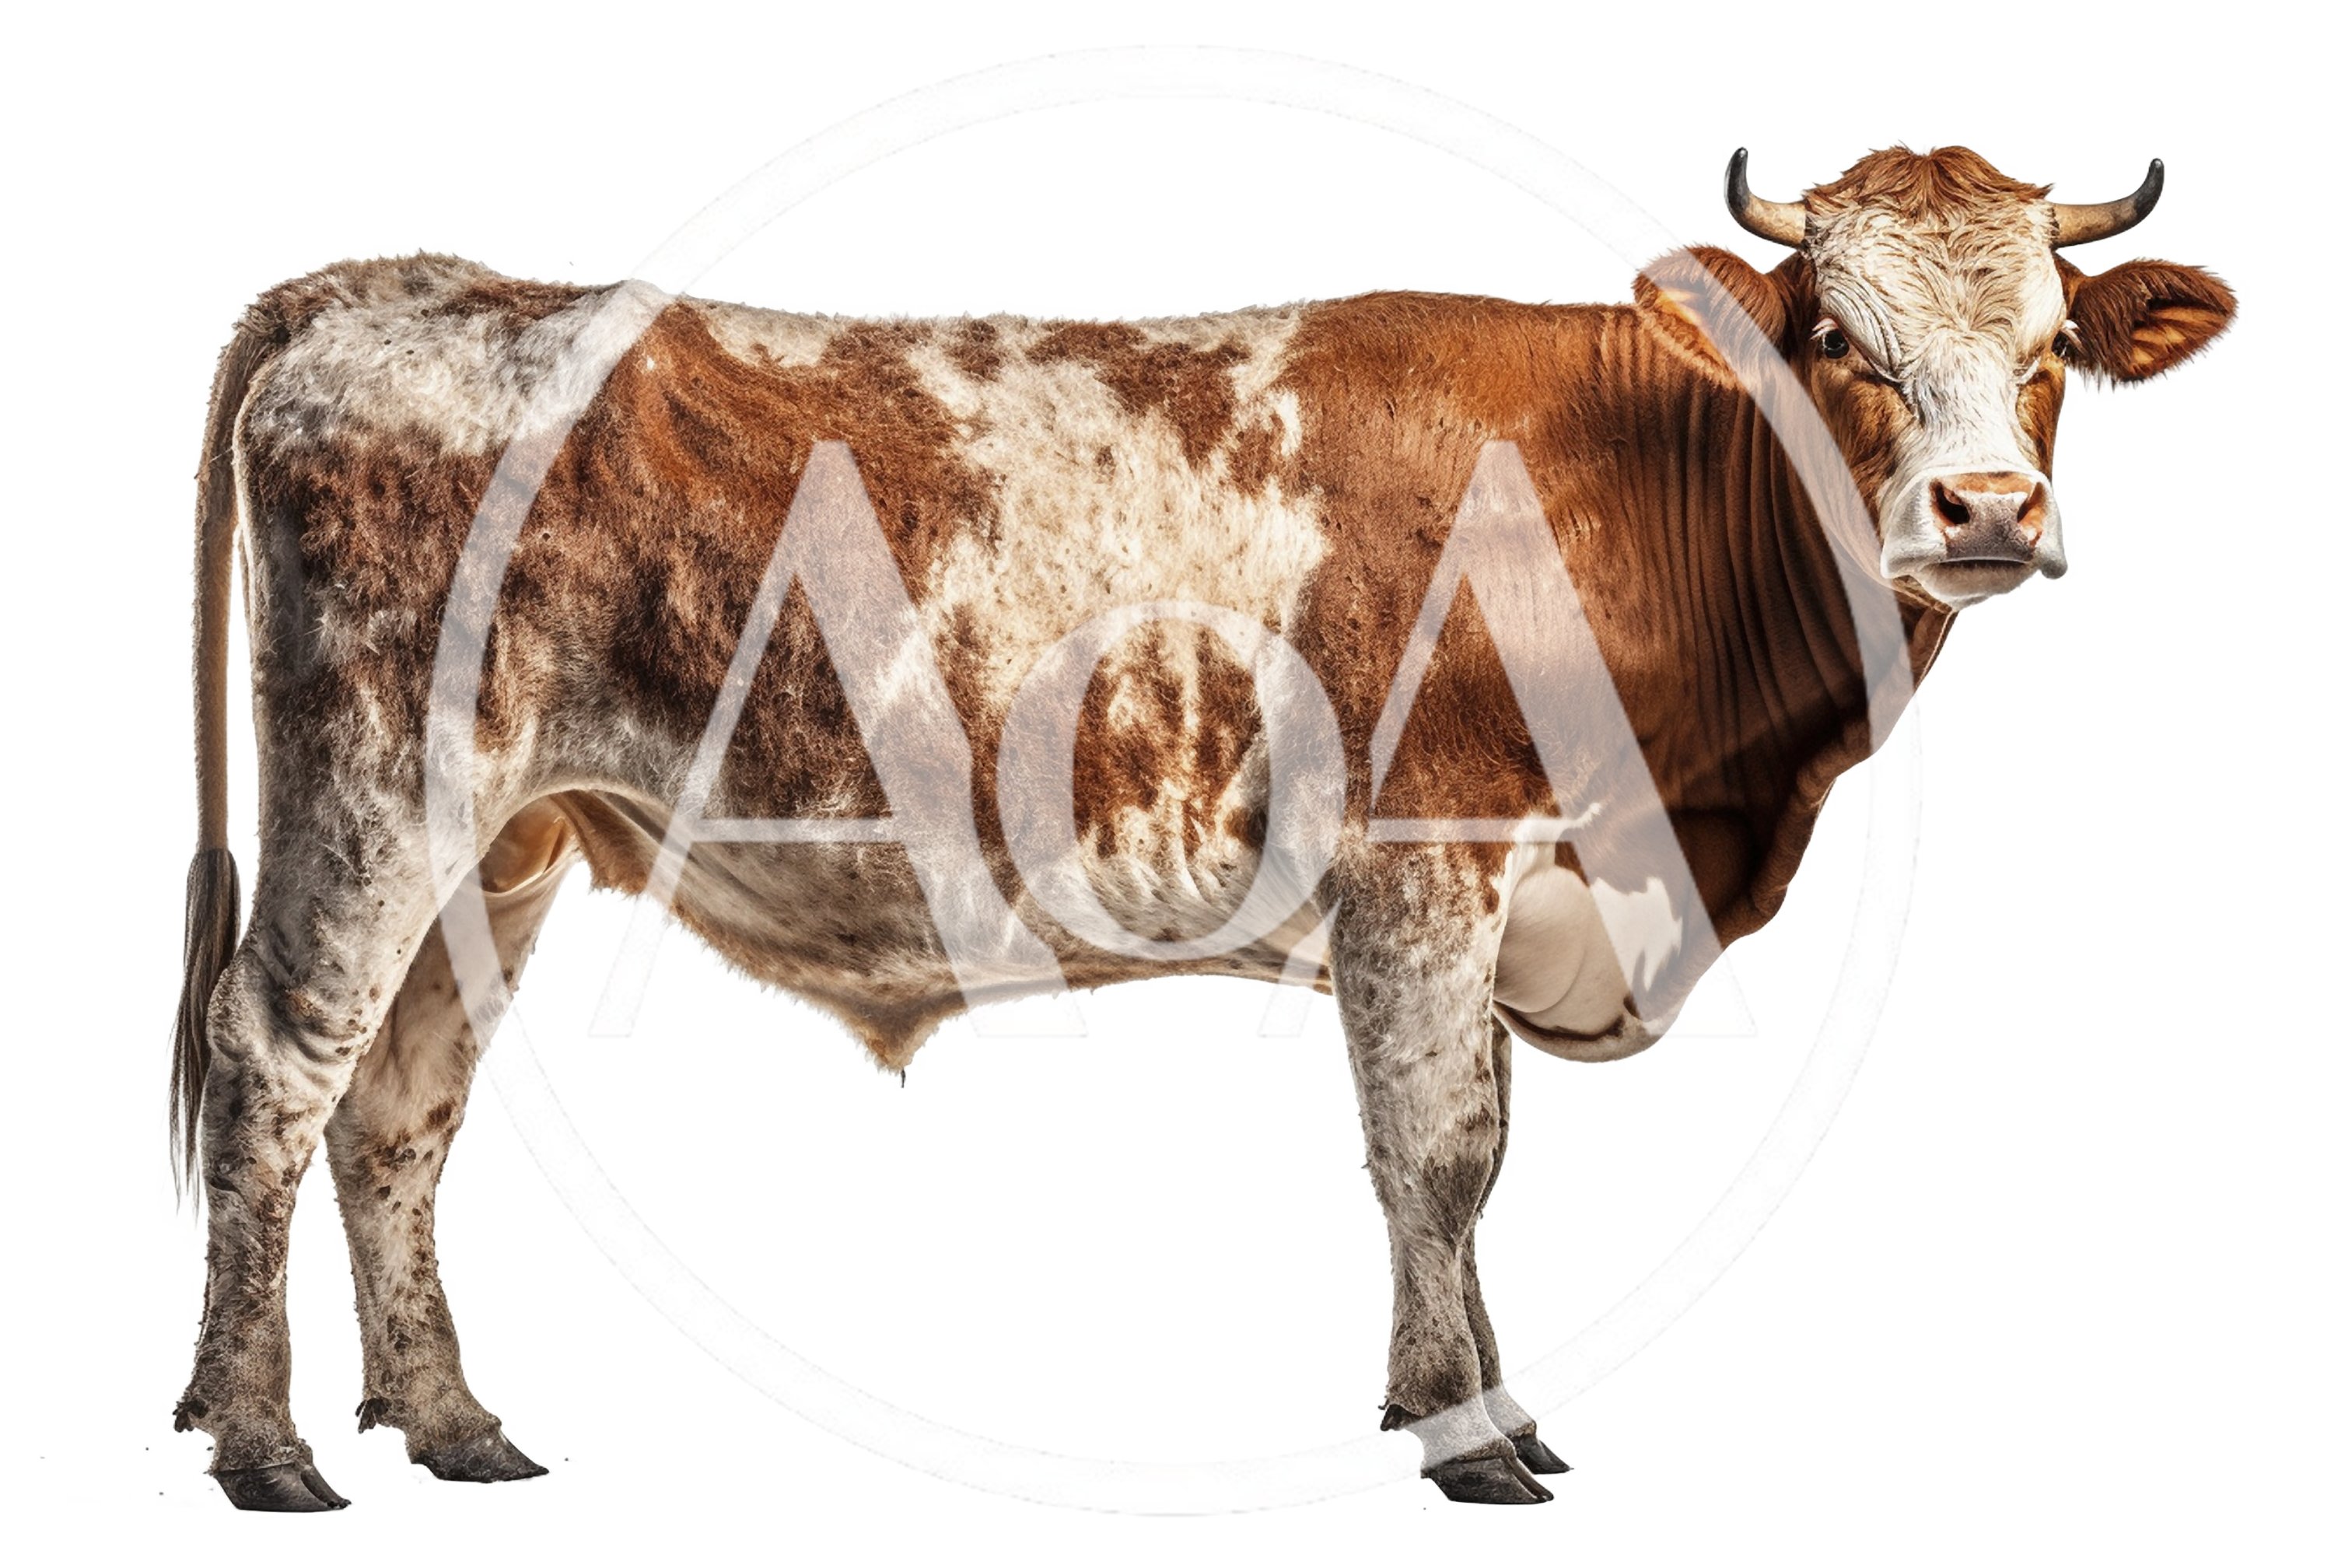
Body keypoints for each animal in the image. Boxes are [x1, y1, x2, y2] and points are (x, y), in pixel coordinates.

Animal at [168, 146, 2235, 1510]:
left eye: (2053, 343)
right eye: (1832, 334)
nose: (1985, 511)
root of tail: (393, 281)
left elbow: (1473, 1156)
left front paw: (1488, 1410)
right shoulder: (1425, 863)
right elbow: (1440, 1158)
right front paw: (1470, 1442)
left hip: (501, 844)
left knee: (399, 1107)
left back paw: (452, 1426)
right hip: (377, 786)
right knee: (277, 1059)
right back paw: (262, 1444)